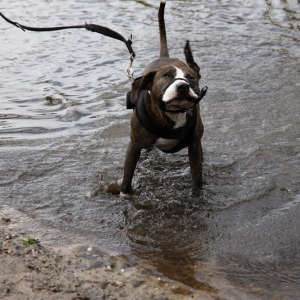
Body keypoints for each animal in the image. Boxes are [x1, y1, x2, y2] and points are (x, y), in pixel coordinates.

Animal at [119, 0, 206, 196]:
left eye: (191, 77)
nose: (182, 86)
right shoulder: (134, 146)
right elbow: (127, 179)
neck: (172, 113)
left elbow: (197, 179)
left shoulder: (195, 146)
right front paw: (124, 195)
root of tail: (164, 56)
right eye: (166, 76)